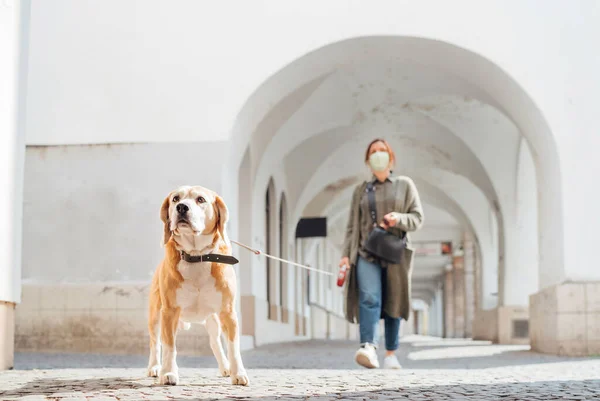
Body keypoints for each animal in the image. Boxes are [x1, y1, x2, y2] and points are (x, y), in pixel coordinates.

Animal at [146, 184, 247, 384]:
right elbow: (169, 346)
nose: (182, 207)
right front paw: (168, 372)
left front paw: (238, 372)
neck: (196, 256)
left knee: (215, 342)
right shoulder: (169, 312)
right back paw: (155, 367)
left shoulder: (228, 312)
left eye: (200, 199)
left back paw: (225, 367)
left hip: (214, 319)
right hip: (155, 316)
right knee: (155, 343)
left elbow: (233, 347)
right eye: (175, 199)